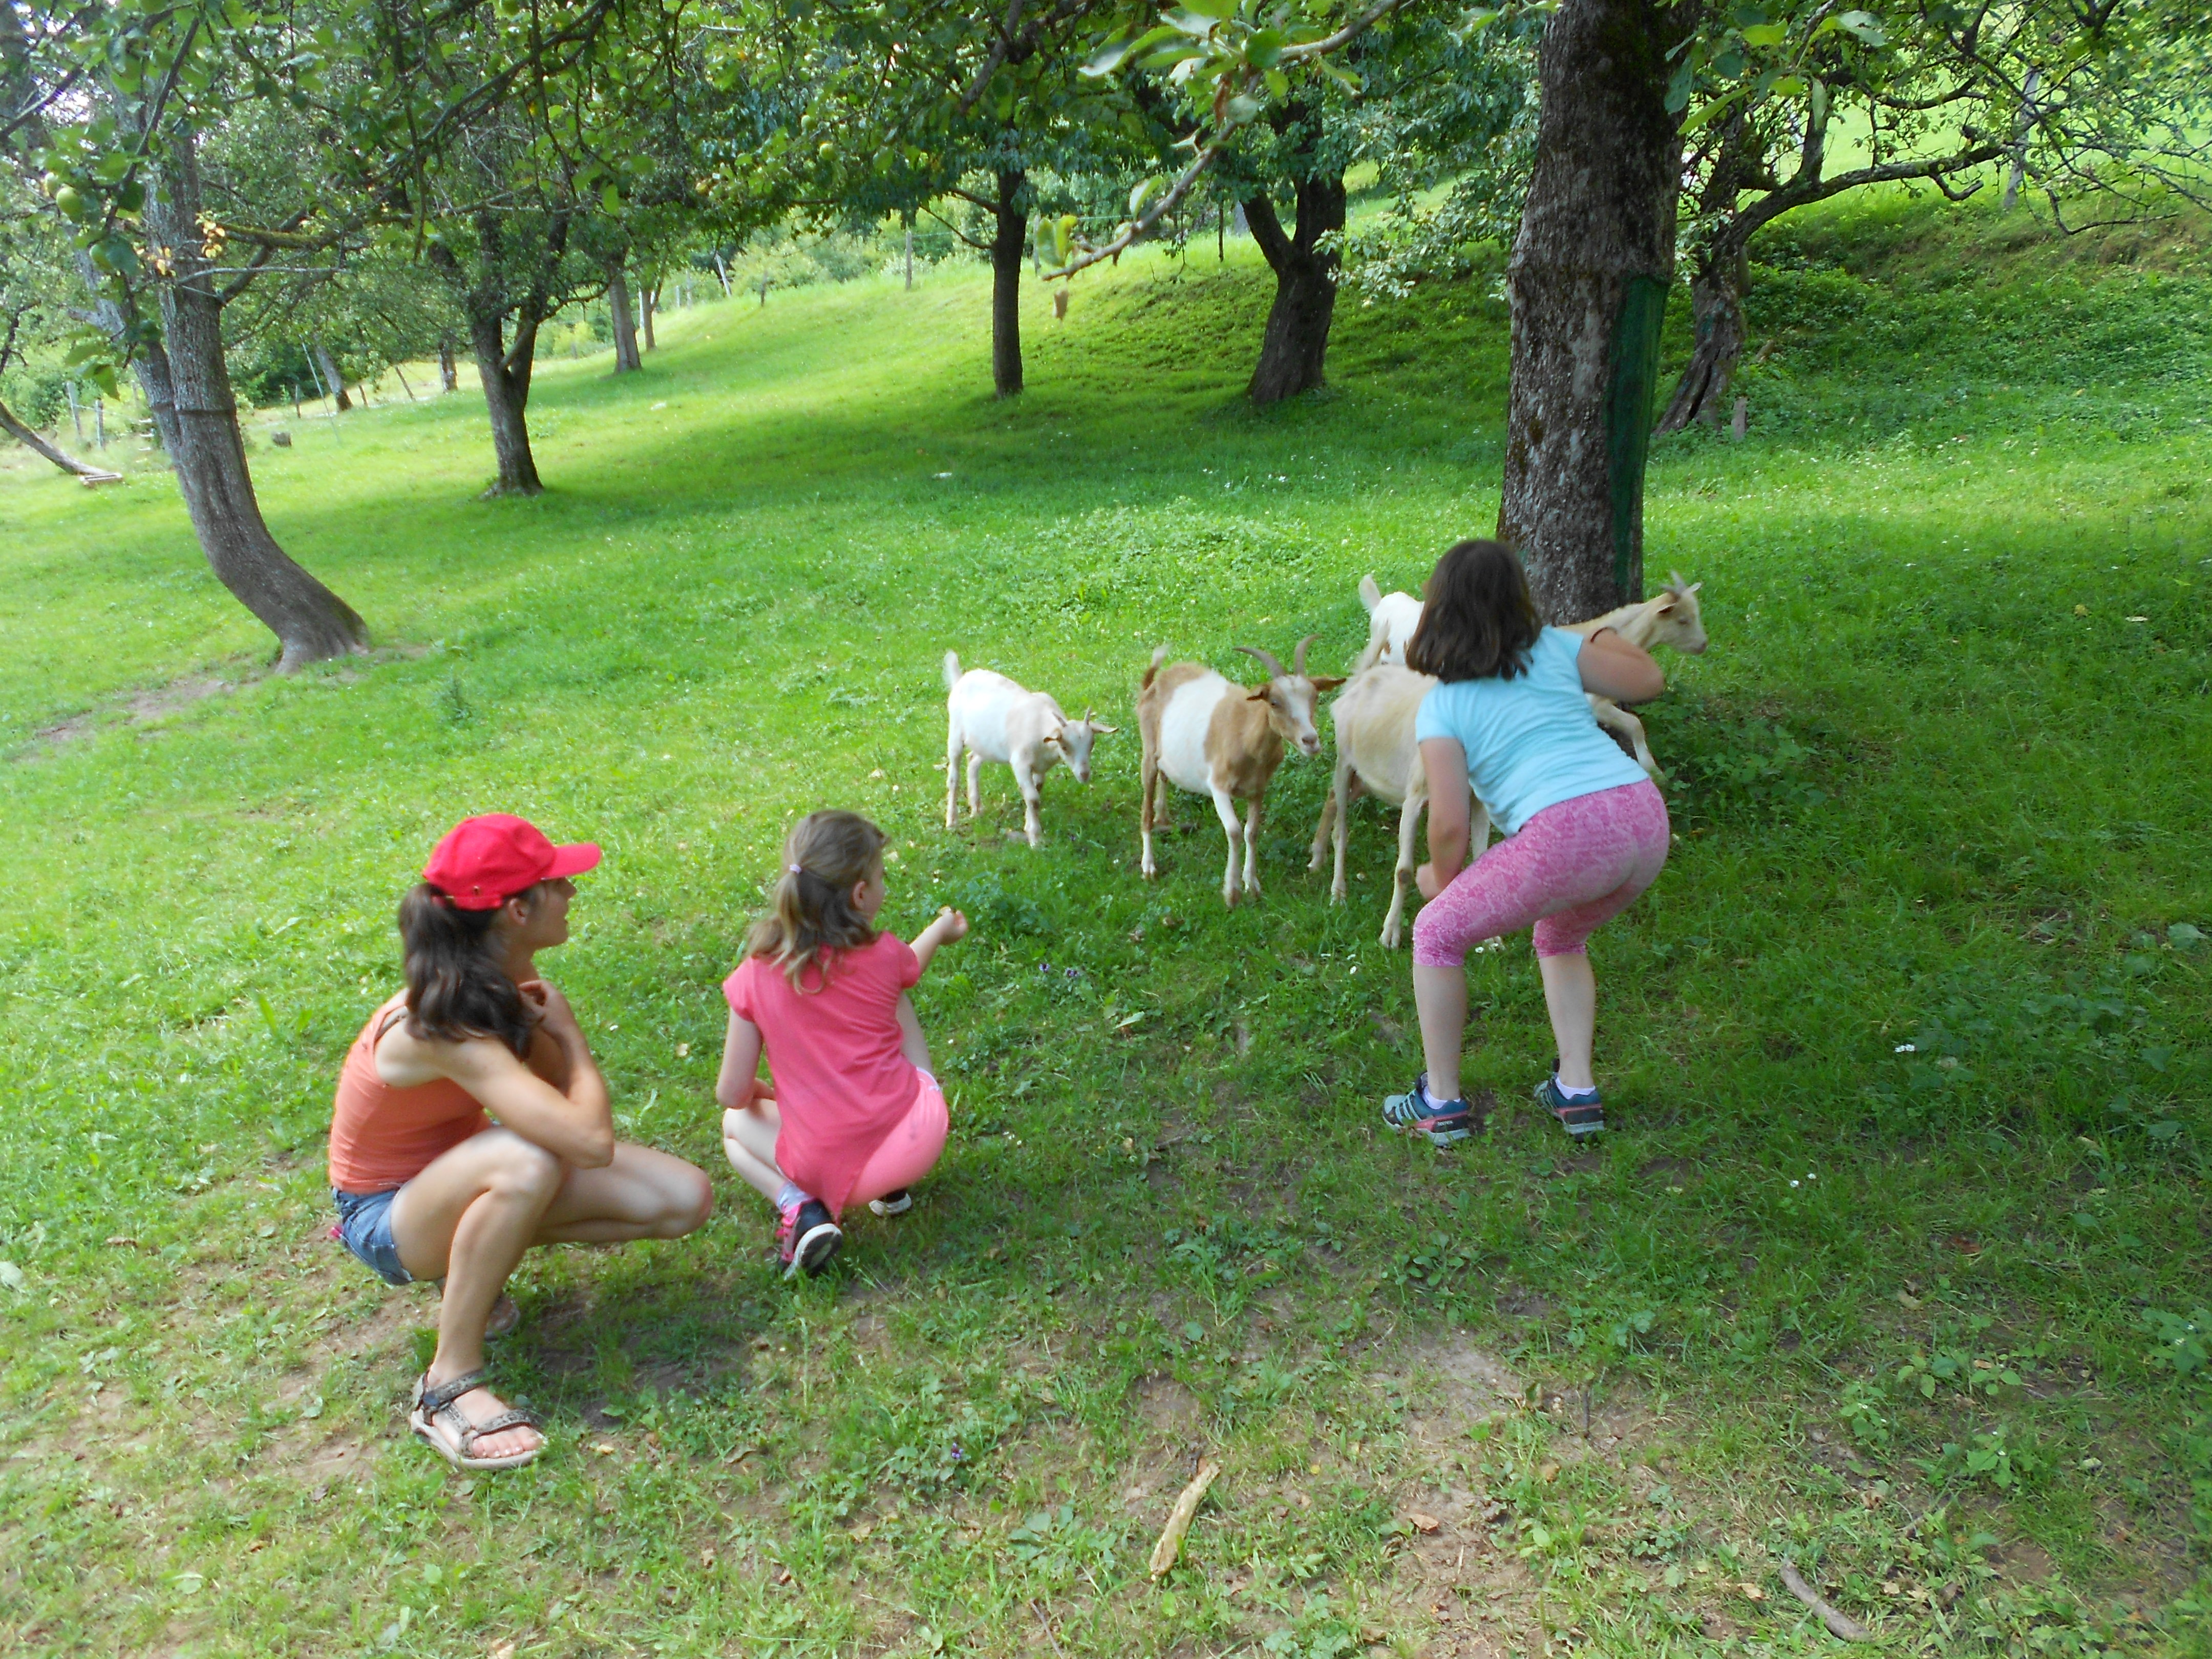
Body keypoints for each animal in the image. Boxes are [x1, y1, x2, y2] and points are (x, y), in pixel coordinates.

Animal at [943, 653, 1116, 848]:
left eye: (1092, 744)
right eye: (1065, 747)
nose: (1085, 775)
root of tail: (961, 679)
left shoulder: (1040, 767)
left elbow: (1036, 792)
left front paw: (1029, 825)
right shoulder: (1020, 763)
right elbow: (1033, 798)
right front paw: (1035, 839)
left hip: (986, 744)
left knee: (973, 760)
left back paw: (977, 809)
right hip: (955, 733)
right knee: (953, 776)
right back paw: (952, 821)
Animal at [1138, 637, 1343, 908]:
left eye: (1315, 697)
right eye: (1274, 702)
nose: (1310, 741)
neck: (1246, 736)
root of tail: (1153, 684)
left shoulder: (1257, 790)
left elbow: (1251, 832)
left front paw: (1252, 885)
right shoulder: (1219, 787)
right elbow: (1235, 831)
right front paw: (1232, 893)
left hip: (1167, 757)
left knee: (1164, 776)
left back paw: (1164, 819)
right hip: (1148, 752)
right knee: (1146, 808)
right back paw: (1148, 866)